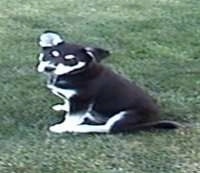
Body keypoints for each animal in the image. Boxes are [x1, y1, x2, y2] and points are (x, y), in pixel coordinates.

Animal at [36, 31, 181, 134]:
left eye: (71, 60)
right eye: (51, 54)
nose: (49, 68)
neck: (75, 73)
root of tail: (155, 119)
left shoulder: (82, 100)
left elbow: (72, 118)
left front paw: (62, 127)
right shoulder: (74, 99)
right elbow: (68, 103)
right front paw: (63, 106)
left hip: (126, 115)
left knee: (107, 129)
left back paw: (79, 128)